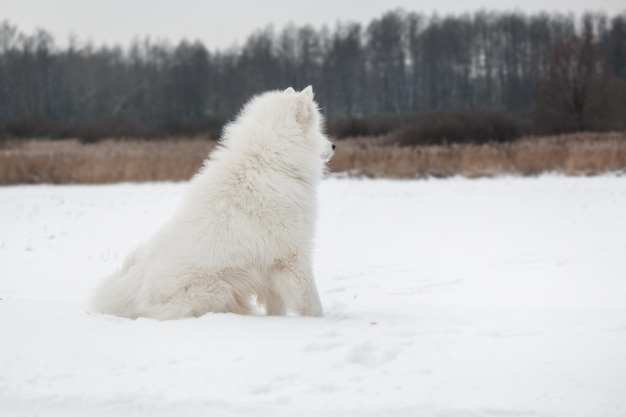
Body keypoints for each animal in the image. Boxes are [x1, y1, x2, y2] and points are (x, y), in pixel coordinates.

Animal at [90, 85, 334, 318]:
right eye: (318, 129)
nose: (334, 146)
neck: (269, 161)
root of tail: (134, 290)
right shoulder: (294, 255)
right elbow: (311, 301)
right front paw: (317, 321)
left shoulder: (272, 265)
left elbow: (278, 305)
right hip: (218, 289)